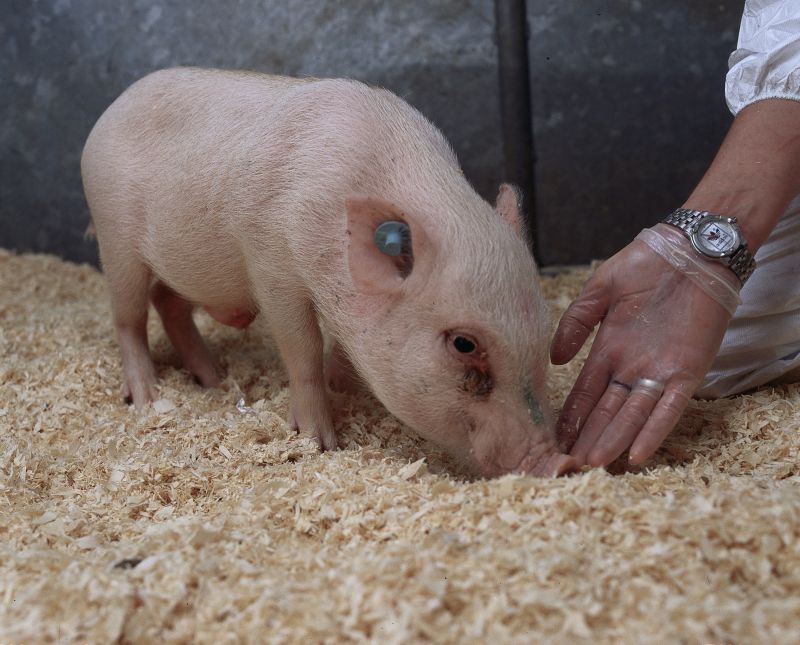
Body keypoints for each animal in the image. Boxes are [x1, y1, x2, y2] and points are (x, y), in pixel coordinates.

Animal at [81, 67, 576, 478]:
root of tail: (109, 111)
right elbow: (303, 349)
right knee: (129, 319)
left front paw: (343, 386)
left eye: (543, 333)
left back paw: (214, 379)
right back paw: (147, 398)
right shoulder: (271, 267)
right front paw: (319, 443)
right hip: (115, 239)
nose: (560, 462)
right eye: (464, 344)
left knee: (168, 302)